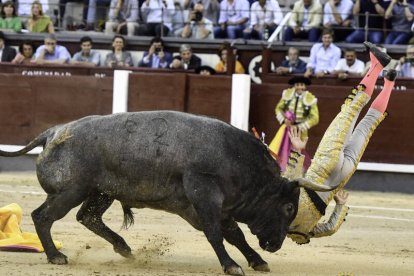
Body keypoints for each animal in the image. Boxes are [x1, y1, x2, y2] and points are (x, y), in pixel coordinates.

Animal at [0, 111, 334, 274]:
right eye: (288, 208)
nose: (276, 245)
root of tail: (51, 133)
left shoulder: (217, 207)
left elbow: (235, 234)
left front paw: (257, 261)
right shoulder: (204, 194)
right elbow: (216, 233)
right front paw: (231, 266)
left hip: (100, 192)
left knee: (88, 217)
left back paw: (124, 248)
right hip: (71, 190)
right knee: (43, 216)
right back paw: (56, 256)